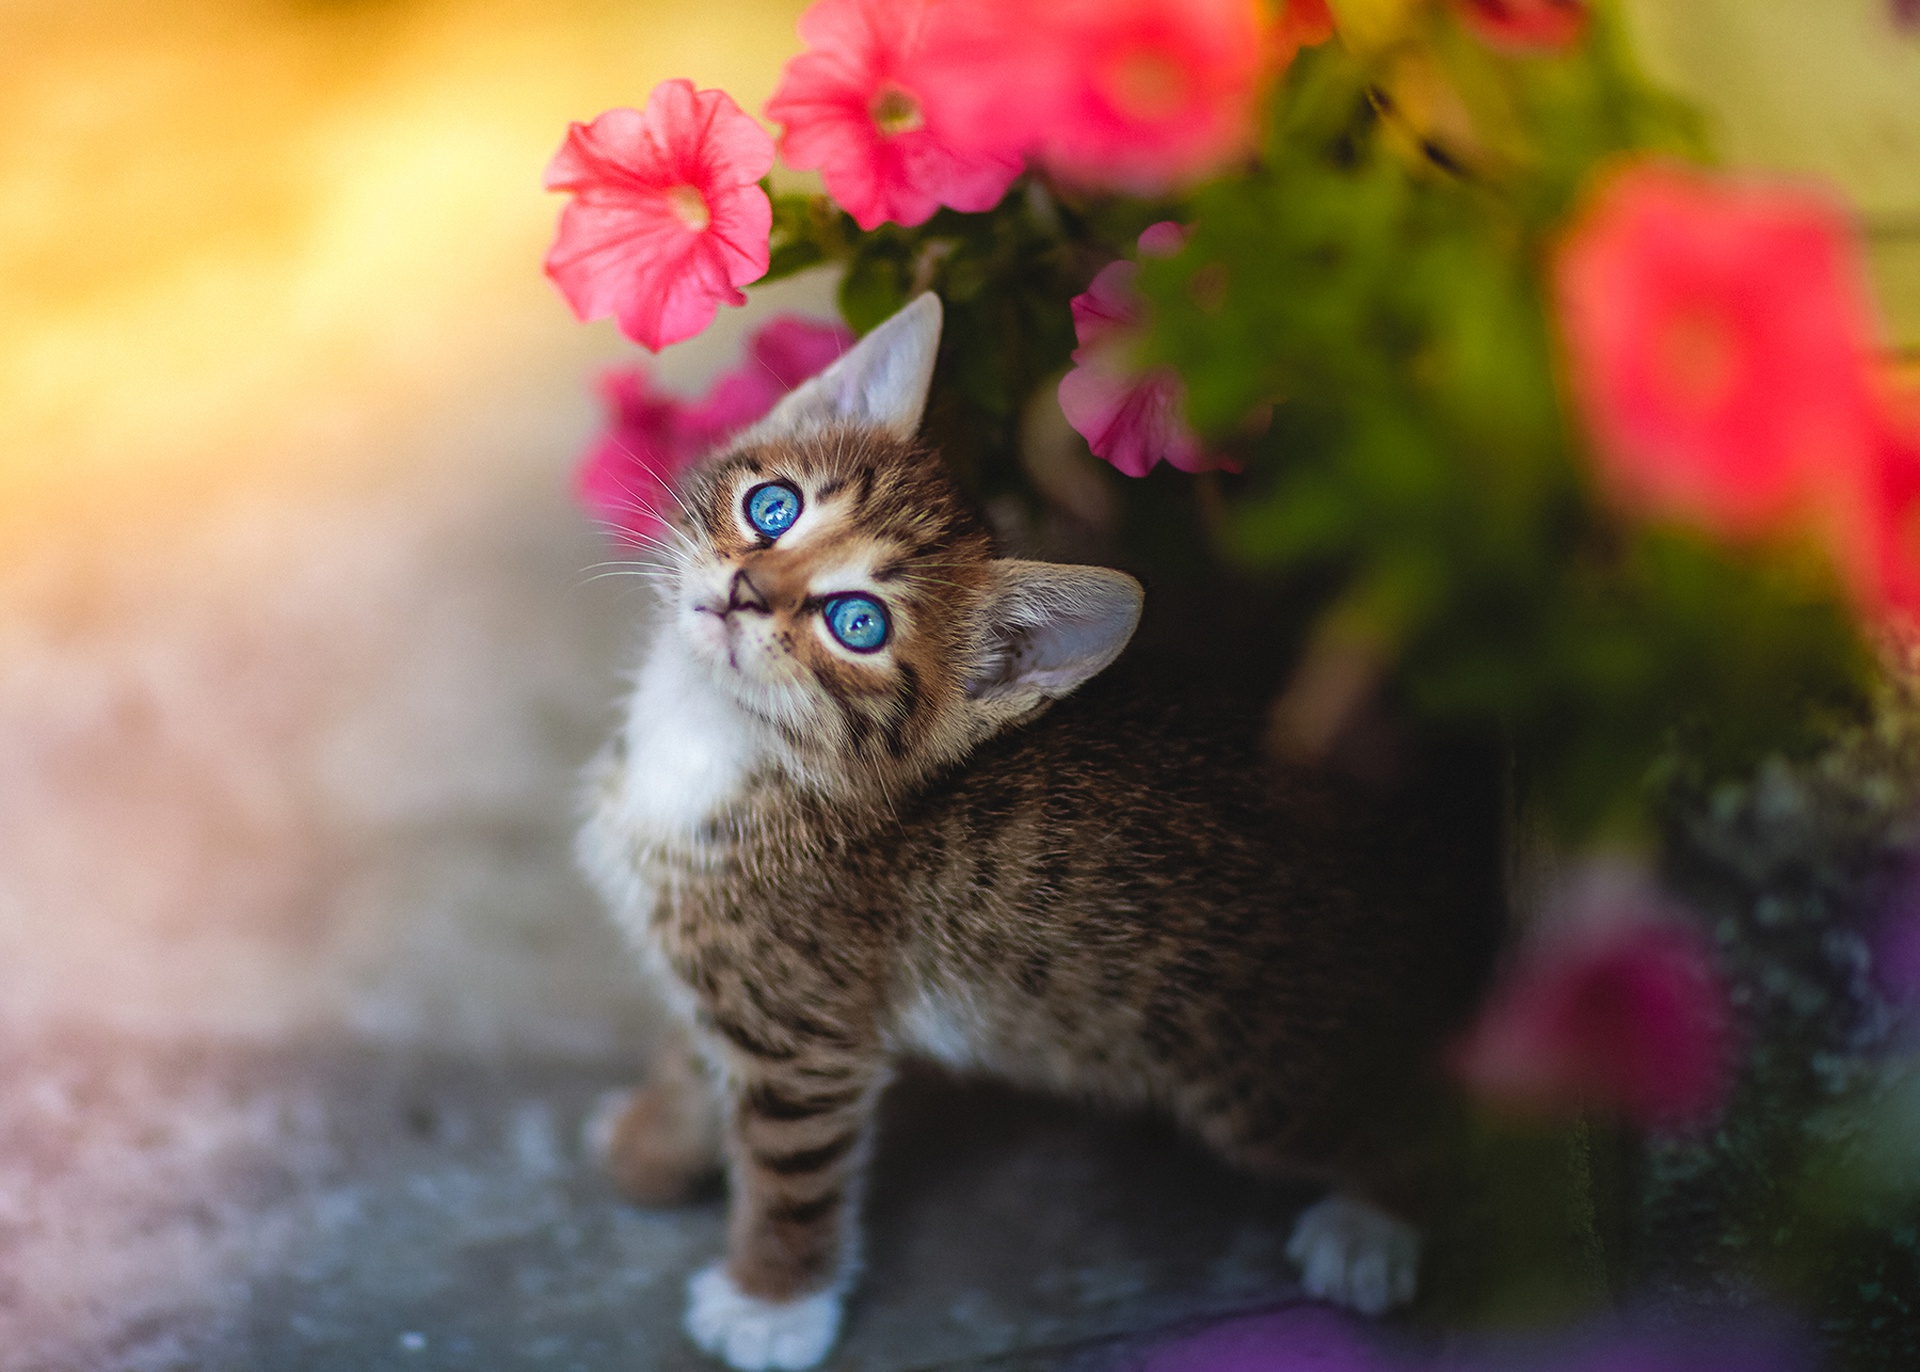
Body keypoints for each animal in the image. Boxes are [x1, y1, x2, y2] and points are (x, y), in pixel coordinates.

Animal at [579, 295, 1497, 1366]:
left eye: (858, 624)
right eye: (774, 509)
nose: (743, 590)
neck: (717, 740)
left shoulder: (806, 1028)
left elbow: (788, 1175)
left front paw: (772, 1303)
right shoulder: (737, 974)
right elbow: (695, 1059)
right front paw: (652, 1145)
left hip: (1254, 1079)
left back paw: (1374, 1224)